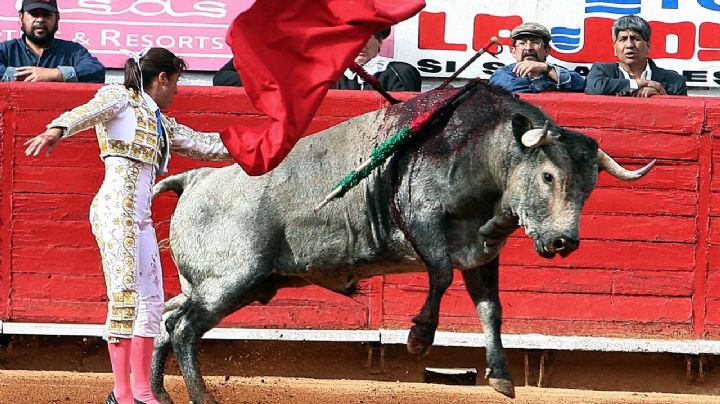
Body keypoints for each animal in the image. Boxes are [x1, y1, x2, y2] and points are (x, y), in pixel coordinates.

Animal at [149, 83, 656, 402]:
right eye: (548, 175)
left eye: (589, 186)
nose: (563, 241)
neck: (481, 154)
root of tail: (196, 178)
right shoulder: (422, 220)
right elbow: (440, 273)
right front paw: (417, 338)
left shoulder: (481, 255)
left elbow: (490, 310)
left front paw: (500, 376)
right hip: (231, 281)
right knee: (185, 330)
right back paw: (200, 396)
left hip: (230, 285)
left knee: (167, 322)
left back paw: (157, 393)